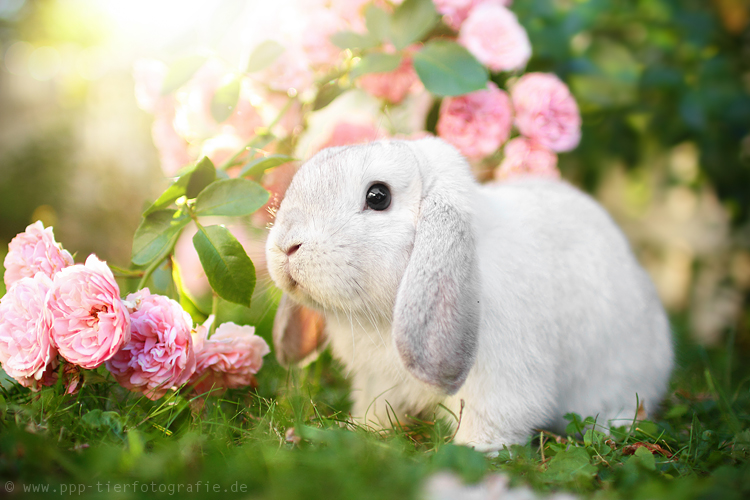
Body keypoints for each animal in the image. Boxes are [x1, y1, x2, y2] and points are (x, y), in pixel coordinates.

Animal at [268, 137, 676, 454]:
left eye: (378, 196)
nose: (287, 245)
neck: (386, 316)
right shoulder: (376, 381)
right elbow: (376, 408)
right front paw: (364, 431)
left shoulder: (501, 384)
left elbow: (493, 423)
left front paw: (472, 453)